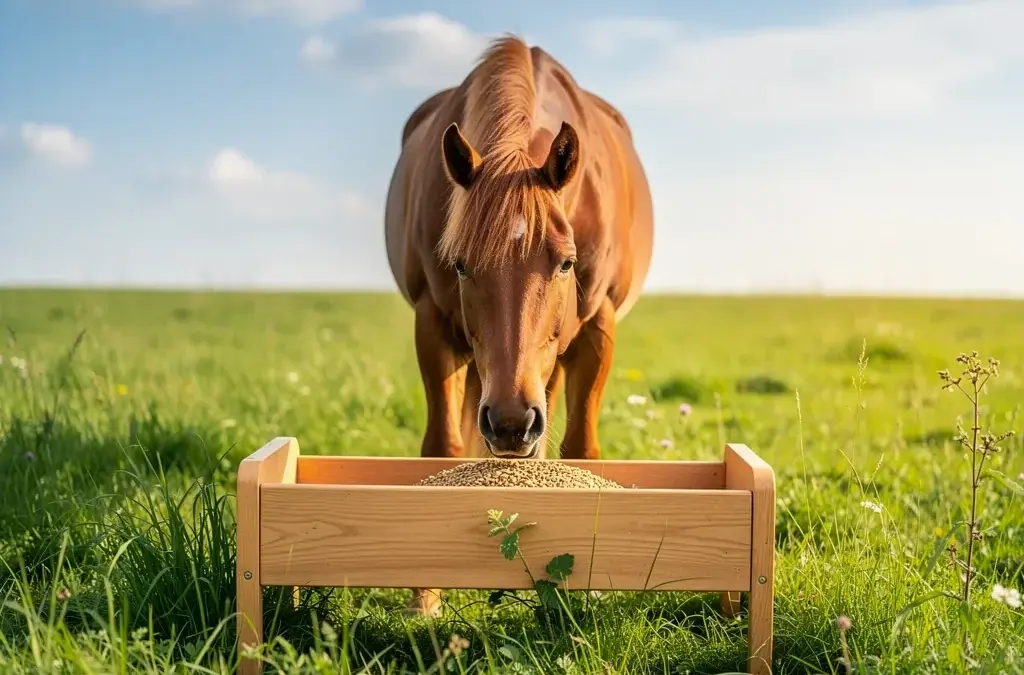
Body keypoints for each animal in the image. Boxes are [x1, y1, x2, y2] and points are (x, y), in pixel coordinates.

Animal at [383, 34, 654, 616]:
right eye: (461, 264)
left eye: (566, 263)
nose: (511, 423)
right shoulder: (432, 327)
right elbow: (444, 450)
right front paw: (425, 597)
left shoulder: (597, 330)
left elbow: (580, 450)